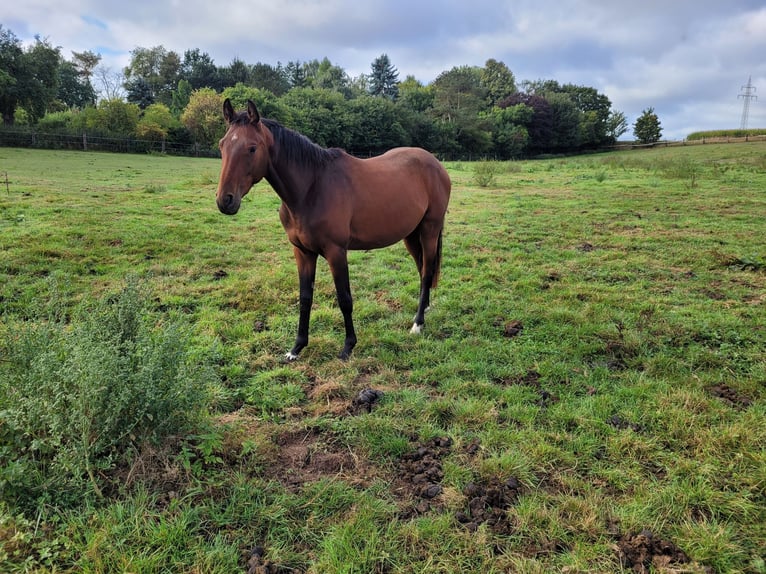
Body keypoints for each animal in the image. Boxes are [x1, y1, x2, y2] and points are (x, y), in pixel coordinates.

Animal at [216, 99, 451, 361]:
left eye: (252, 148)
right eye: (222, 145)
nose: (225, 200)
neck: (311, 188)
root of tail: (435, 164)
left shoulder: (336, 252)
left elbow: (344, 298)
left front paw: (348, 346)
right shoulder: (303, 252)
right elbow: (305, 297)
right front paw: (297, 348)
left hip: (430, 230)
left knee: (427, 270)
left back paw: (418, 324)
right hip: (411, 235)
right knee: (422, 270)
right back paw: (424, 310)